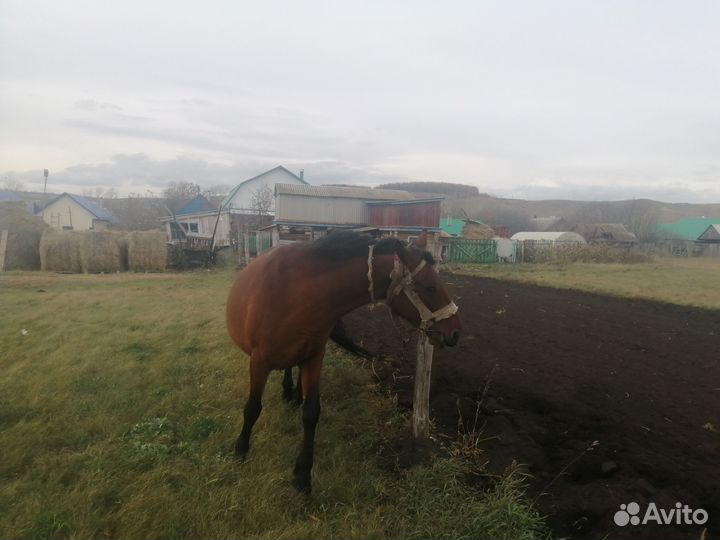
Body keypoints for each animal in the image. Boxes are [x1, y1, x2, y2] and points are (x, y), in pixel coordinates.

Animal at [226, 230, 462, 494]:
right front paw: (241, 450)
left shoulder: (313, 357)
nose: (455, 331)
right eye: (430, 288)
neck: (296, 293)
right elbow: (252, 408)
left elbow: (311, 413)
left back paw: (293, 393)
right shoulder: (259, 361)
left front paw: (302, 475)